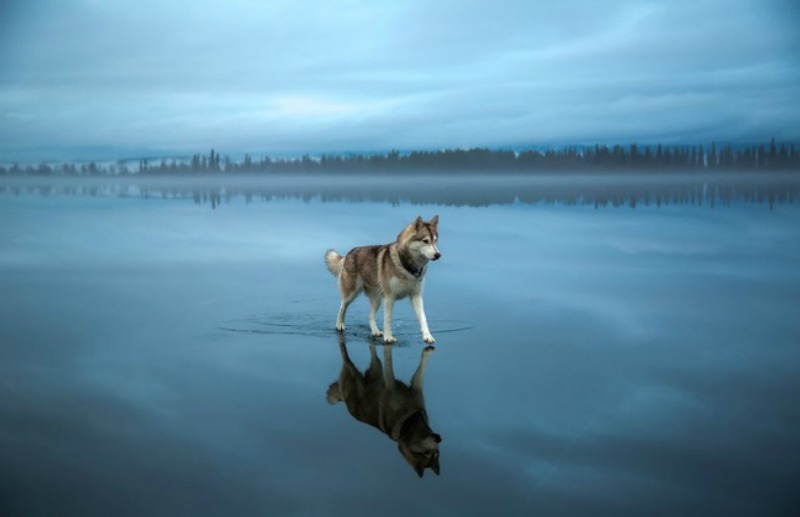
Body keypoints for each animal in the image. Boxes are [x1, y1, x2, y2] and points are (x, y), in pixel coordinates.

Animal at [322, 214, 440, 342]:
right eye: (425, 241)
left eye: (436, 240)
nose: (438, 255)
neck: (407, 266)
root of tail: (348, 253)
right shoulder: (390, 297)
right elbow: (388, 320)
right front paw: (388, 338)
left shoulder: (416, 296)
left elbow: (423, 318)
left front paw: (428, 336)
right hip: (351, 294)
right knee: (342, 307)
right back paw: (339, 325)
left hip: (377, 299)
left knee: (370, 316)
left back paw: (375, 332)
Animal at [326, 334, 444, 476]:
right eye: (426, 453)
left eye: (436, 454)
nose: (439, 438)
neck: (409, 421)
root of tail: (344, 400)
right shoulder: (390, 384)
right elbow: (389, 364)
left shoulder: (416, 387)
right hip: (352, 371)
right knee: (345, 355)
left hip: (376, 368)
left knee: (374, 354)